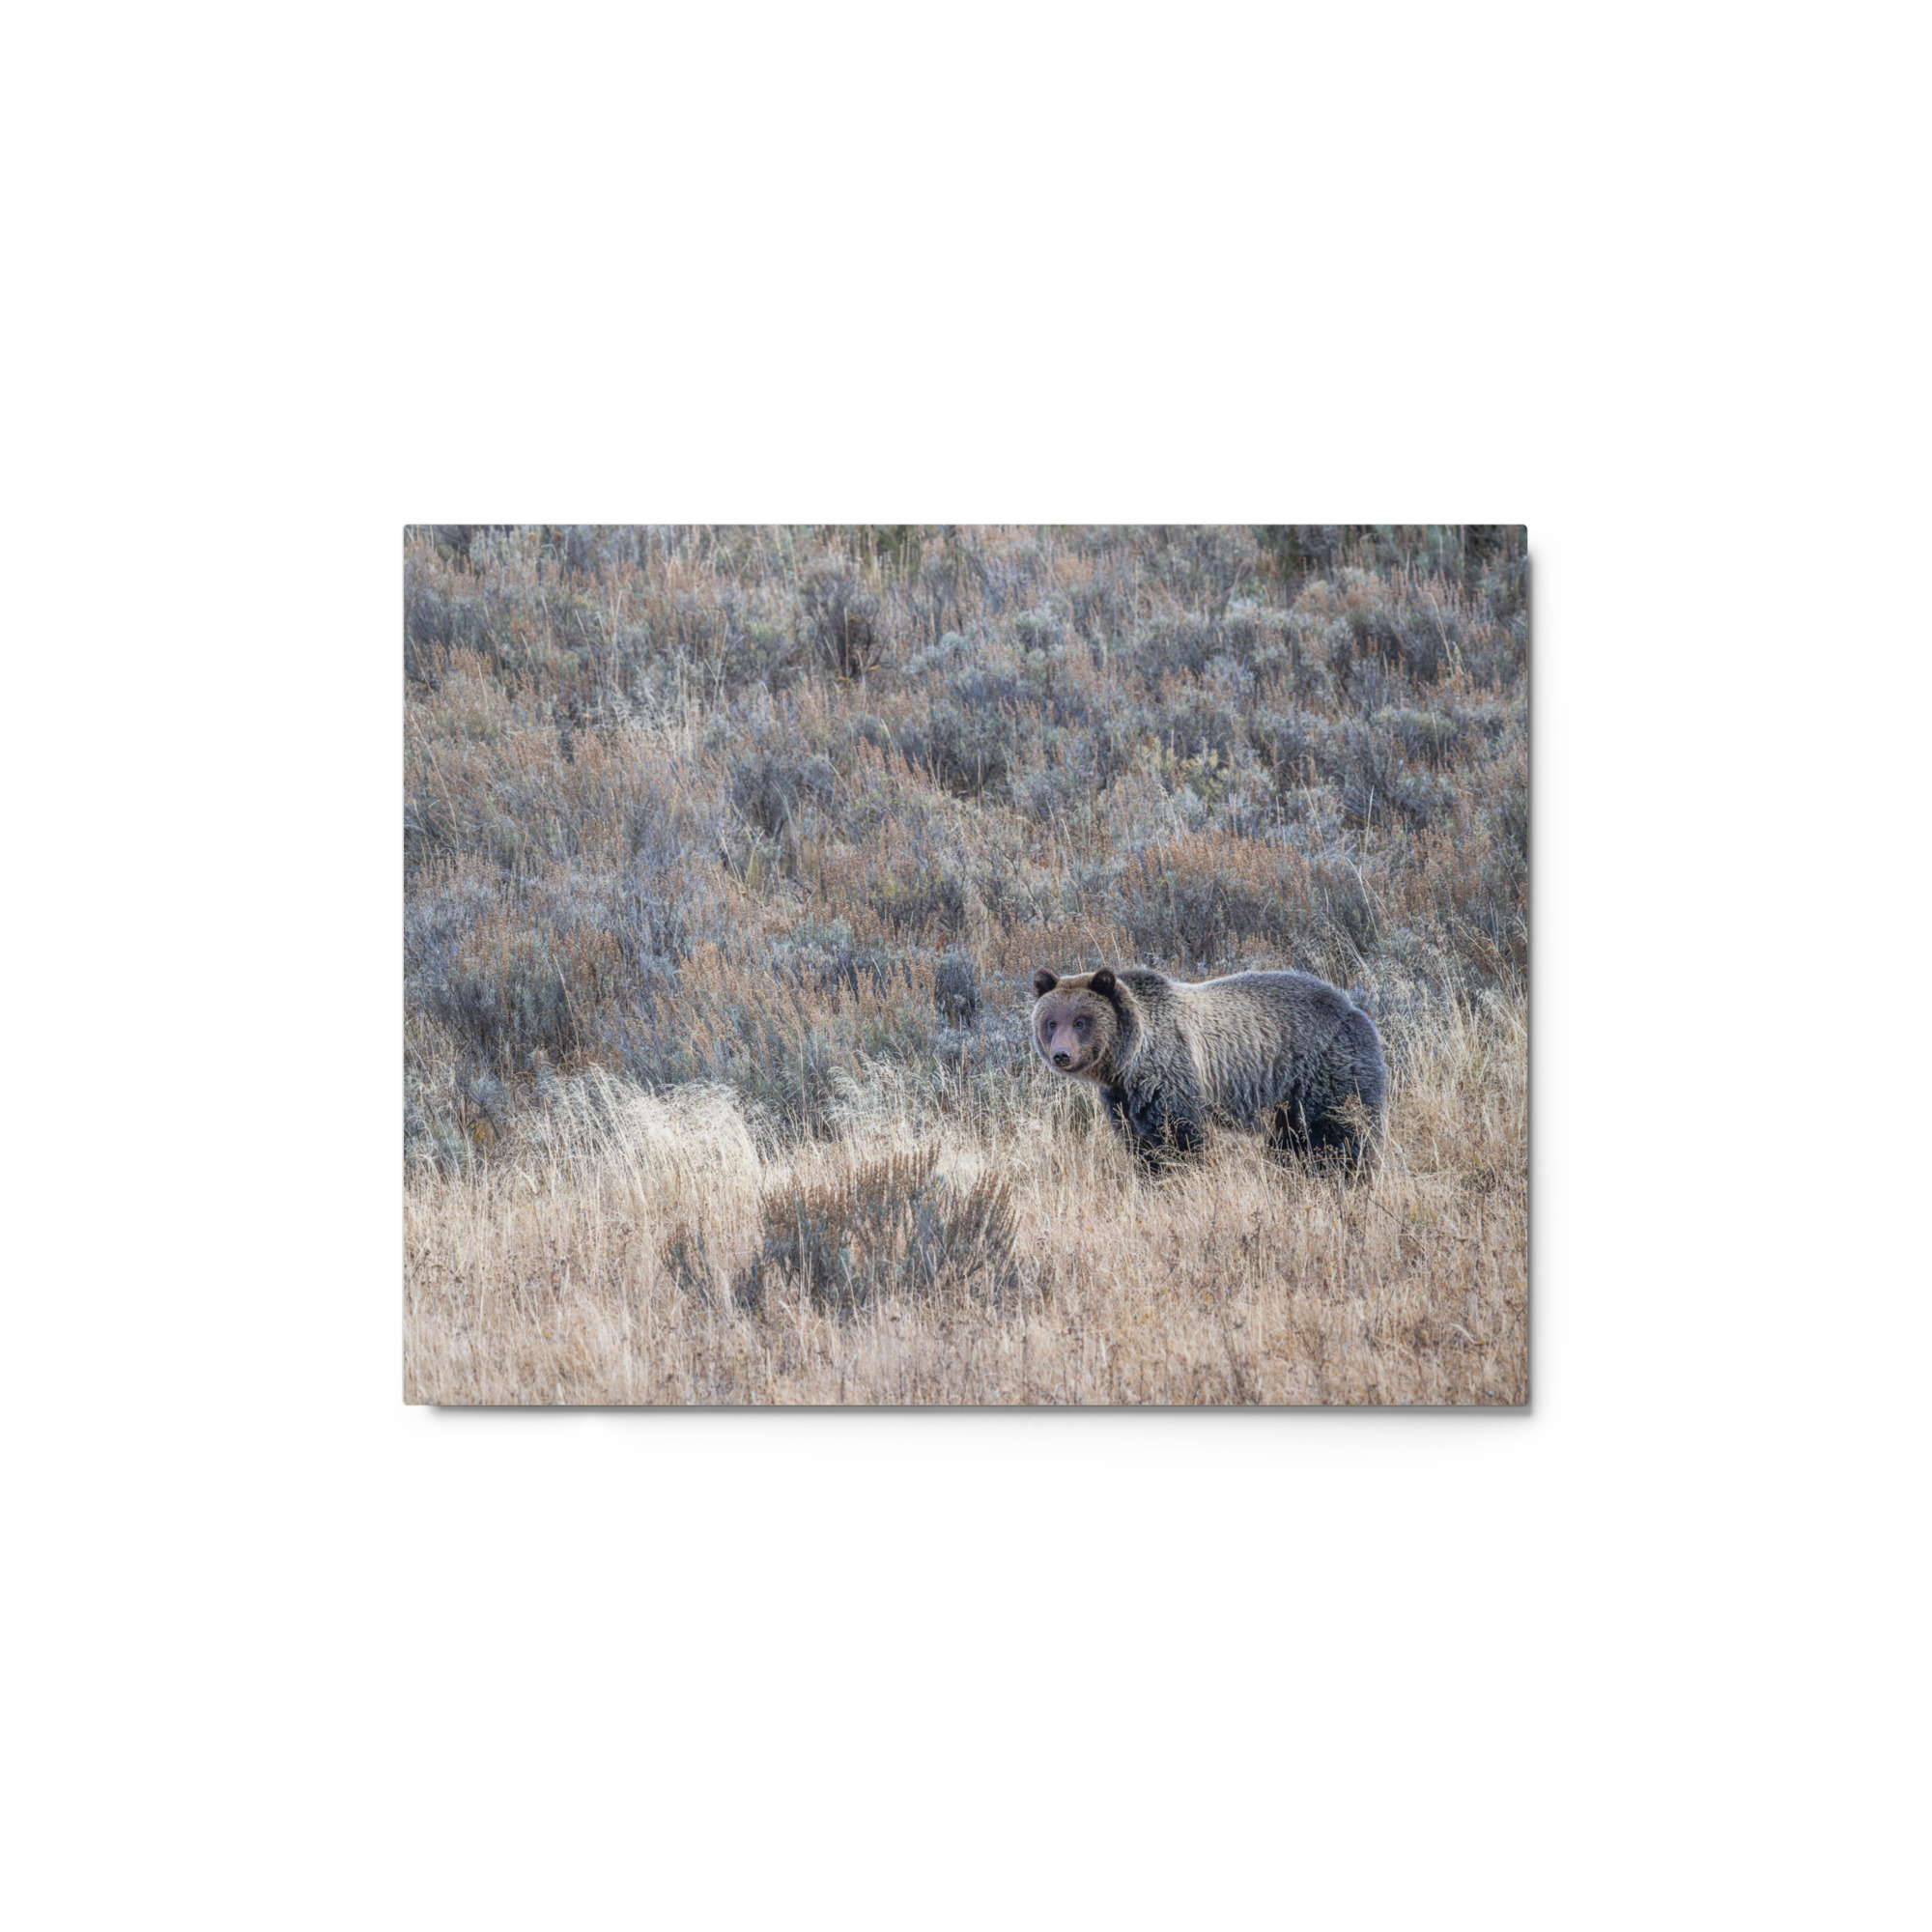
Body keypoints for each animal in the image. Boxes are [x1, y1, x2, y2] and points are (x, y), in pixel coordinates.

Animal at [1029, 963, 1386, 1168]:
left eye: (1080, 1021)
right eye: (1051, 1022)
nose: (1062, 1055)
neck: (1128, 1061)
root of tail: (1354, 1008)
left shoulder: (1170, 1075)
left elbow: (1180, 1138)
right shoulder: (1122, 1099)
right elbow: (1138, 1143)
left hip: (1325, 1070)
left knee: (1340, 1132)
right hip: (1286, 1101)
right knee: (1291, 1142)